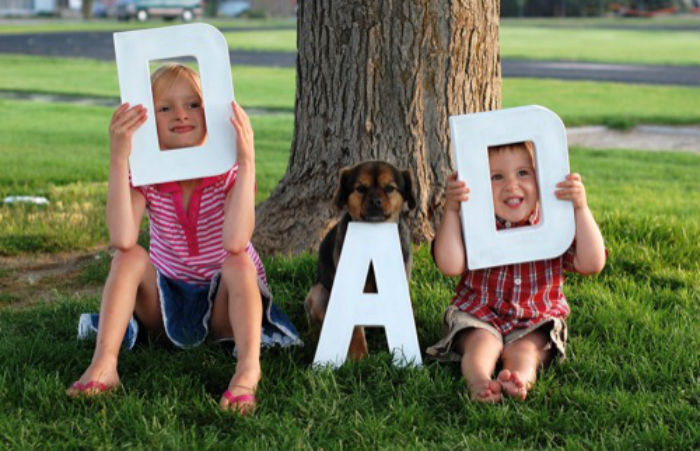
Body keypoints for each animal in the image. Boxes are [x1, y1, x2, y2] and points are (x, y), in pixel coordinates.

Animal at [302, 161, 416, 362]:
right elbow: (355, 329)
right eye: (361, 188)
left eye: (390, 188)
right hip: (318, 293)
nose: (376, 201)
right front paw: (358, 358)